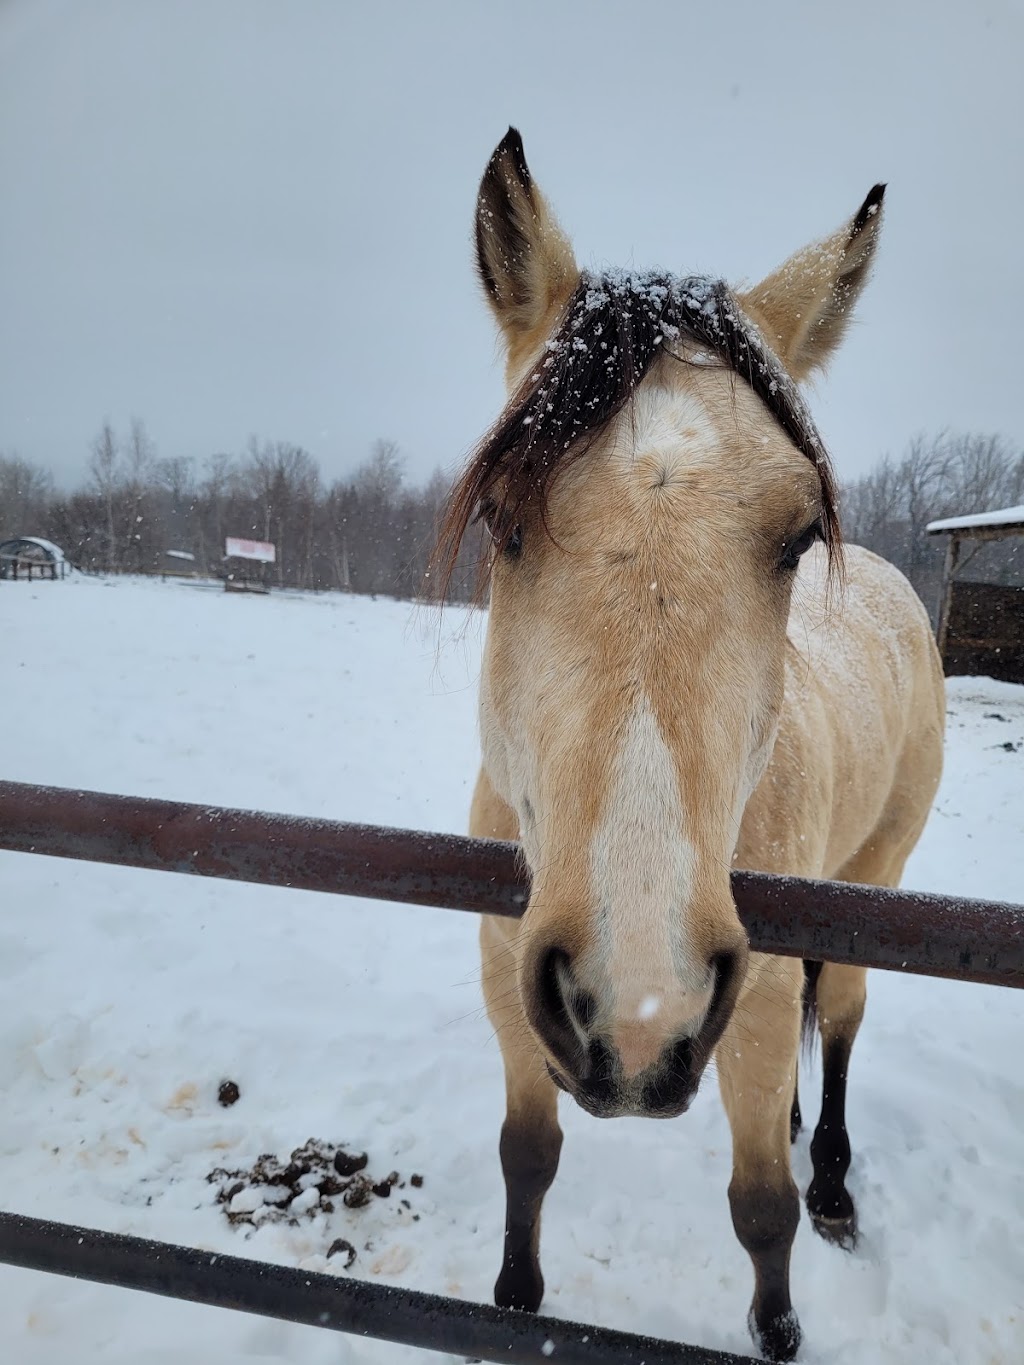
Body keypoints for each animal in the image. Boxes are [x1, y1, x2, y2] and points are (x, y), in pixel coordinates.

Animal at [434, 125, 944, 1354]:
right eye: (501, 518)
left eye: (797, 536)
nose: (638, 1000)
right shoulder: (508, 969)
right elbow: (529, 1153)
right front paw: (513, 1300)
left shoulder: (743, 1002)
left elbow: (761, 1209)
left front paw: (781, 1331)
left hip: (877, 880)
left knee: (840, 1019)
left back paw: (837, 1183)